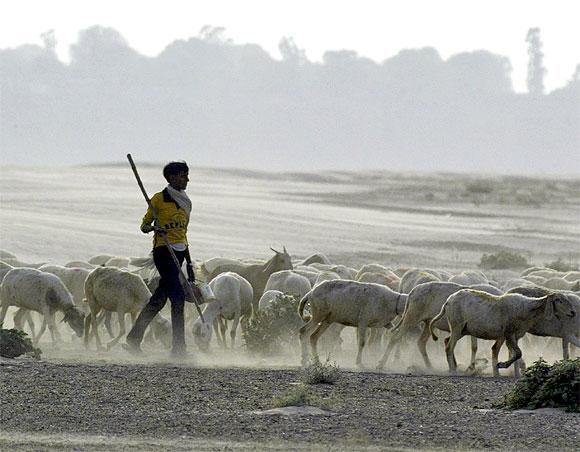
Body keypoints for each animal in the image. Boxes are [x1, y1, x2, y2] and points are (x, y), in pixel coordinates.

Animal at [428, 290, 576, 378]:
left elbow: (509, 352)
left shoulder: (511, 335)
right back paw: (453, 371)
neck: (527, 309)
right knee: (449, 346)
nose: (573, 312)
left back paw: (454, 367)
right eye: (559, 300)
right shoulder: (509, 333)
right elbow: (518, 353)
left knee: (447, 341)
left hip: (463, 329)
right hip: (457, 325)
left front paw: (506, 371)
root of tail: (448, 301)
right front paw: (502, 366)